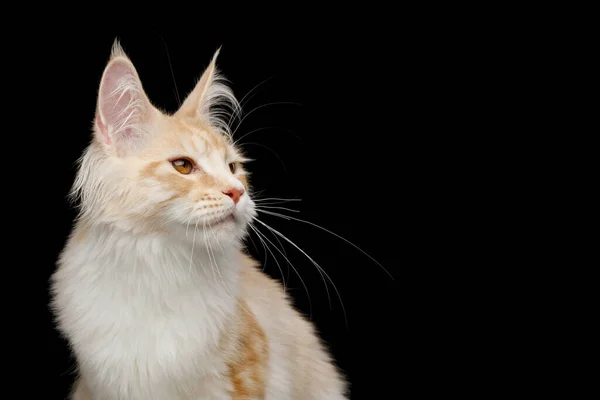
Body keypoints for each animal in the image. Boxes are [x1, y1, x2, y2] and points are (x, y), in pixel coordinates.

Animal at [51, 39, 350, 398]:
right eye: (183, 166)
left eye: (233, 168)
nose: (237, 192)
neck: (162, 269)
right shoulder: (102, 383)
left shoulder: (246, 370)